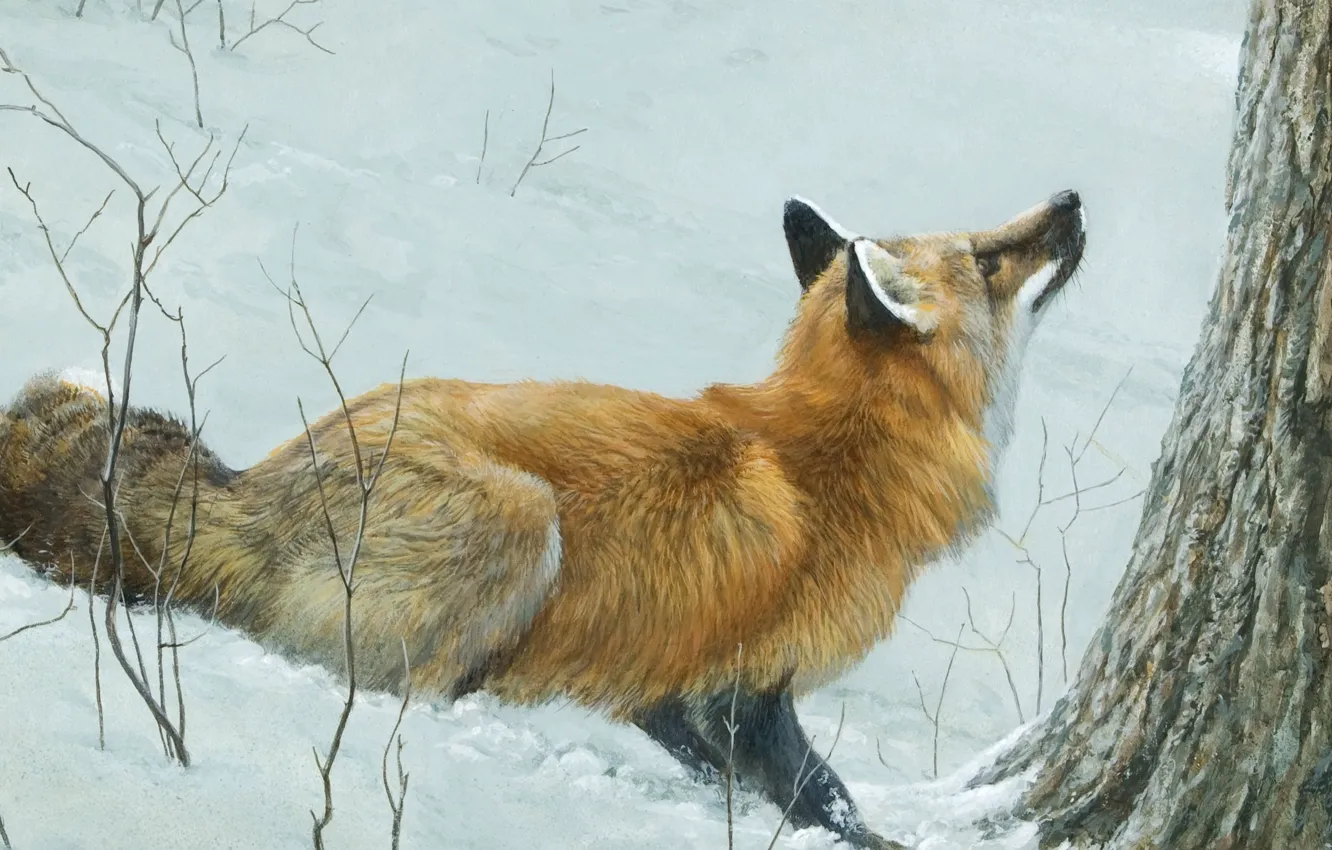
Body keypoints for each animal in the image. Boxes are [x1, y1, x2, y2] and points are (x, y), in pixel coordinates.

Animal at [0, 189, 1085, 849]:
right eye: (990, 255)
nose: (1071, 202)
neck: (836, 459)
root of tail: (254, 484)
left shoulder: (670, 677)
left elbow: (727, 765)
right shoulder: (746, 683)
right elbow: (827, 796)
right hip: (524, 521)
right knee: (376, 684)